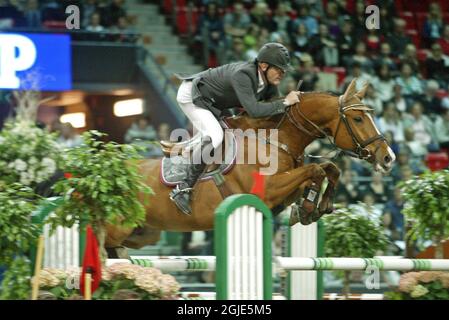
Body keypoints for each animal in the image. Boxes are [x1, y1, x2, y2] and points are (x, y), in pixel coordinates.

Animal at [105, 79, 396, 250]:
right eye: (358, 119)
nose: (388, 157)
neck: (275, 140)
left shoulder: (285, 191)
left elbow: (328, 169)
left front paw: (314, 207)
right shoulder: (268, 190)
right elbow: (315, 169)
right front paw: (310, 207)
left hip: (141, 234)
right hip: (117, 230)